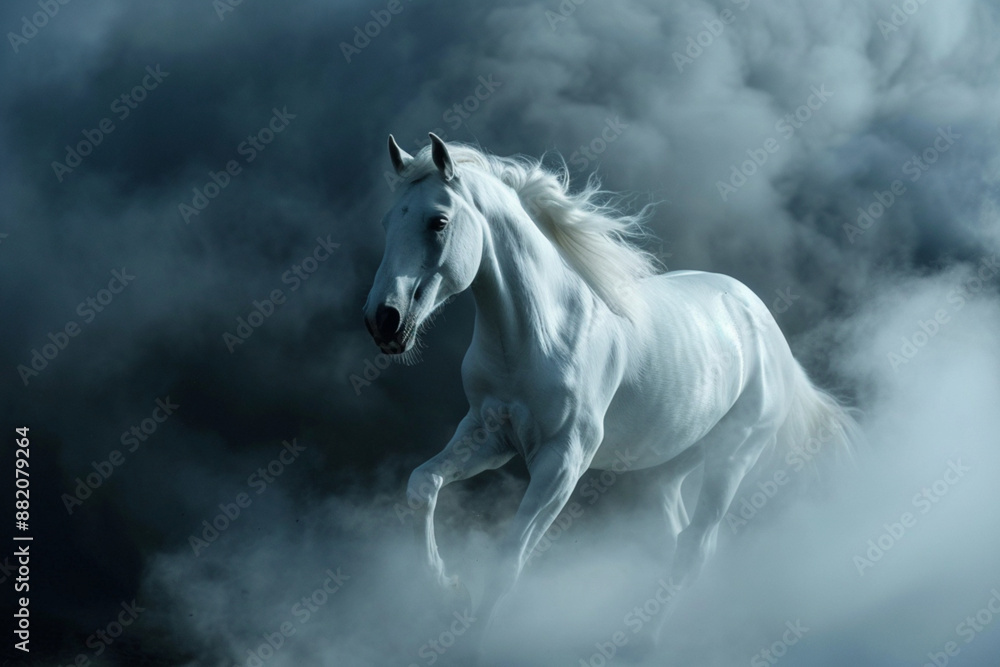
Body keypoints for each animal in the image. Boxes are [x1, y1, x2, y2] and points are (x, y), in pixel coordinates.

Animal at [362, 132, 860, 651]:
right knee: (676, 538)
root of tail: (767, 330)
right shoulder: (487, 434)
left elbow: (509, 559)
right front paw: (445, 589)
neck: (539, 333)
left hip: (732, 456)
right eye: (387, 221)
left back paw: (643, 642)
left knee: (695, 548)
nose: (384, 321)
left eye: (438, 221)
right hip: (667, 468)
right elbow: (423, 485)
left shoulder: (563, 460)